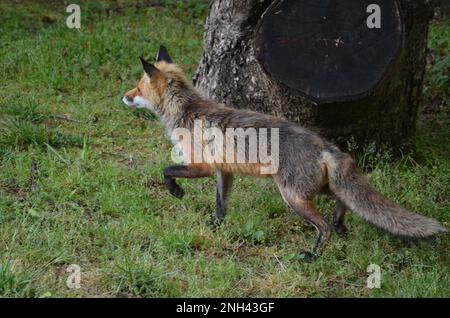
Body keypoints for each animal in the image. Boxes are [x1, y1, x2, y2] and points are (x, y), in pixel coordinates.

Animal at [121, 46, 444, 262]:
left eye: (137, 87)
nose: (124, 97)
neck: (189, 112)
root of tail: (326, 146)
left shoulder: (201, 165)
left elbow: (166, 171)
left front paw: (176, 191)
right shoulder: (224, 170)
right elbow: (221, 204)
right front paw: (215, 226)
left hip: (292, 197)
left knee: (323, 225)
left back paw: (314, 256)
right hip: (311, 189)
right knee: (343, 200)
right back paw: (341, 227)